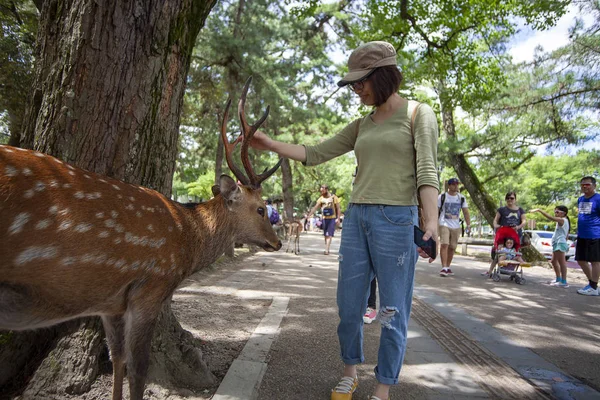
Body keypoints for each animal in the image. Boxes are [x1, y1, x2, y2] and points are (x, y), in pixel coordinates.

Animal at [0, 77, 282, 400]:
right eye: (261, 208)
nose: (278, 242)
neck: (187, 236)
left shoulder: (111, 302)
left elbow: (117, 357)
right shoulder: (150, 286)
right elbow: (139, 368)